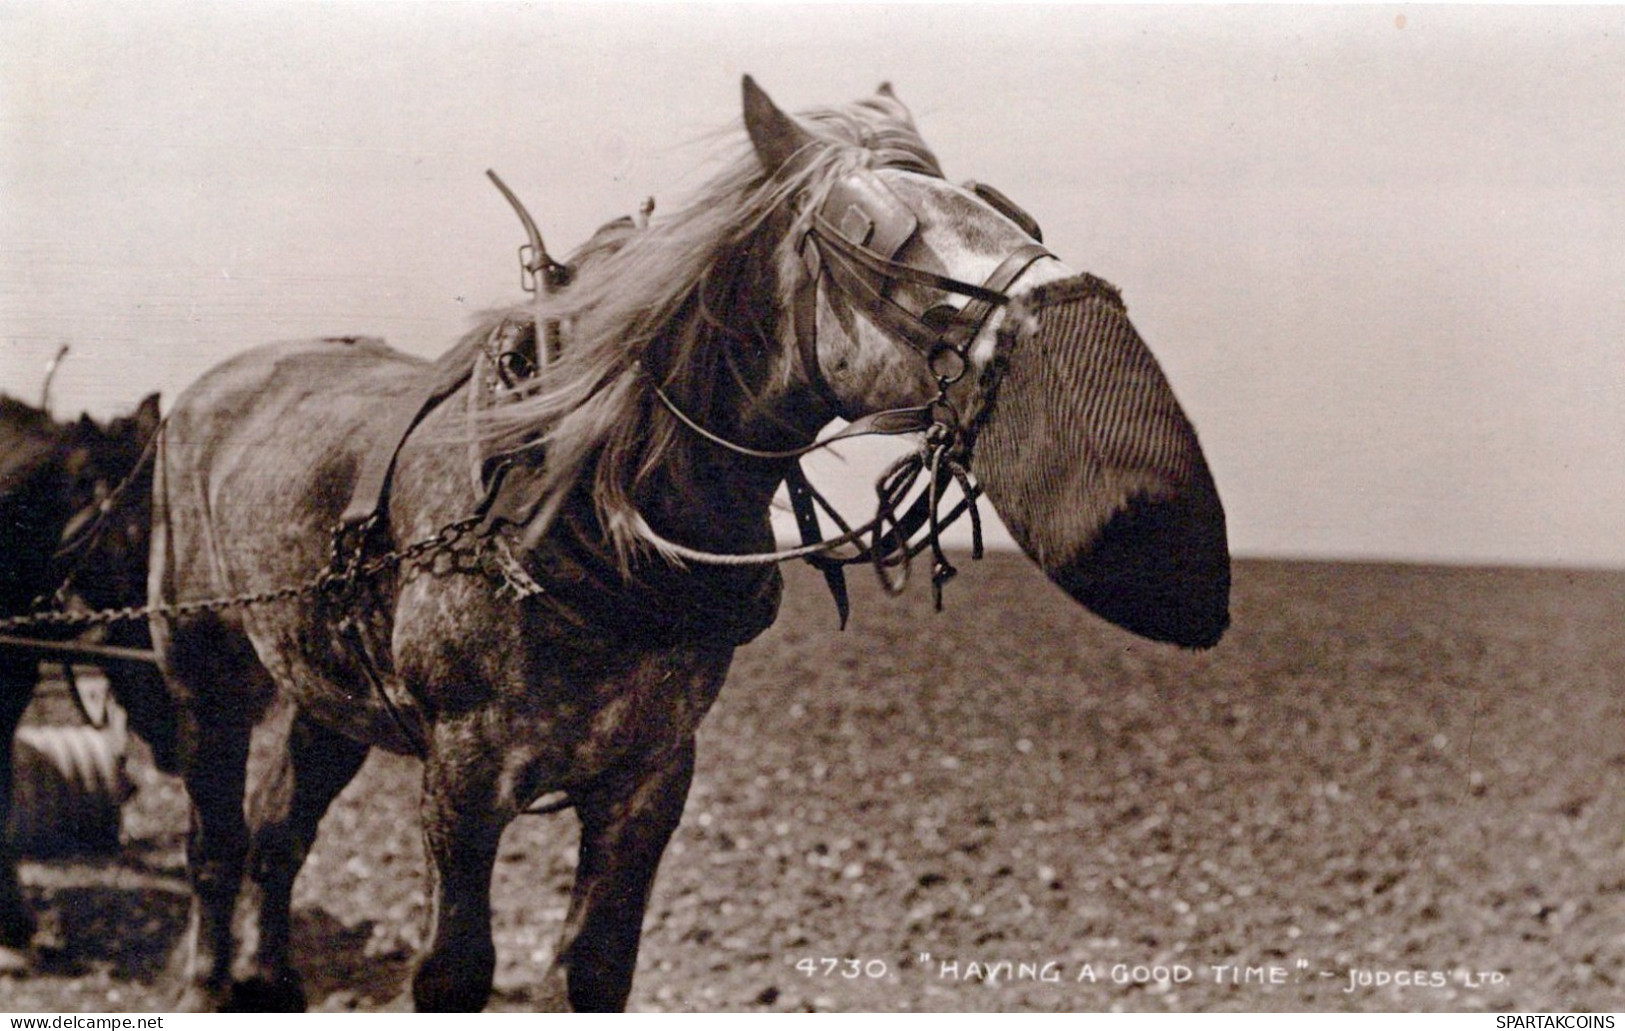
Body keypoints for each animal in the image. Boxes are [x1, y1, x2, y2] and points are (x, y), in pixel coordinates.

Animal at [152, 80, 1228, 1014]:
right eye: (877, 235)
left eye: (1007, 213)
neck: (581, 503)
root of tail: (200, 390)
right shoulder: (461, 774)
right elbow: (454, 970)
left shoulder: (652, 774)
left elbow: (595, 968)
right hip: (203, 667)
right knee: (215, 840)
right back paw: (206, 981)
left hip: (327, 689)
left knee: (279, 831)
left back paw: (270, 979)